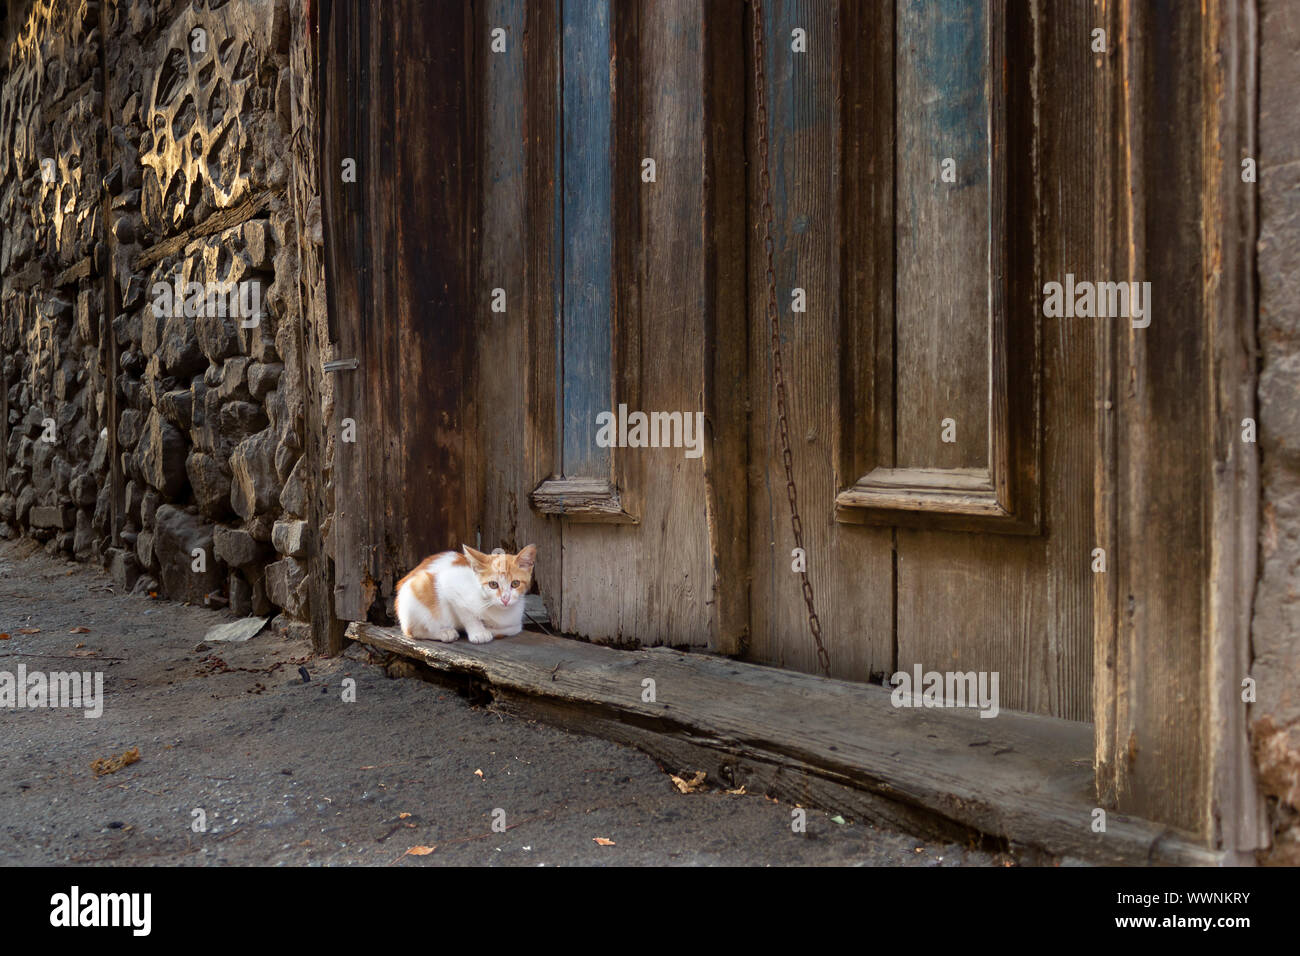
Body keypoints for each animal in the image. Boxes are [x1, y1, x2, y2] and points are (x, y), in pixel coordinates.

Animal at [395, 546, 538, 642]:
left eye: (515, 584)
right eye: (493, 584)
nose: (505, 599)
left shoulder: (515, 622)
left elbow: (513, 628)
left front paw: (489, 628)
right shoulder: (449, 583)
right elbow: (467, 614)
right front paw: (479, 632)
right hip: (416, 589)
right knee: (414, 631)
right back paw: (444, 633)